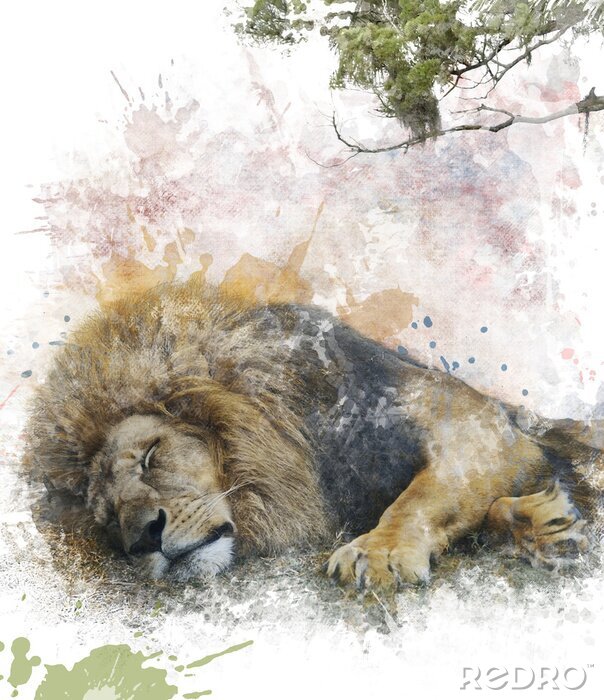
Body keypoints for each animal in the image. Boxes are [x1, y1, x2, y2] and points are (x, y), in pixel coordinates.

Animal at [26, 278, 603, 588]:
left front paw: (378, 551)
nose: (142, 539)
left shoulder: (474, 424)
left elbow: (420, 497)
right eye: (108, 520)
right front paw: (543, 522)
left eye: (150, 455)